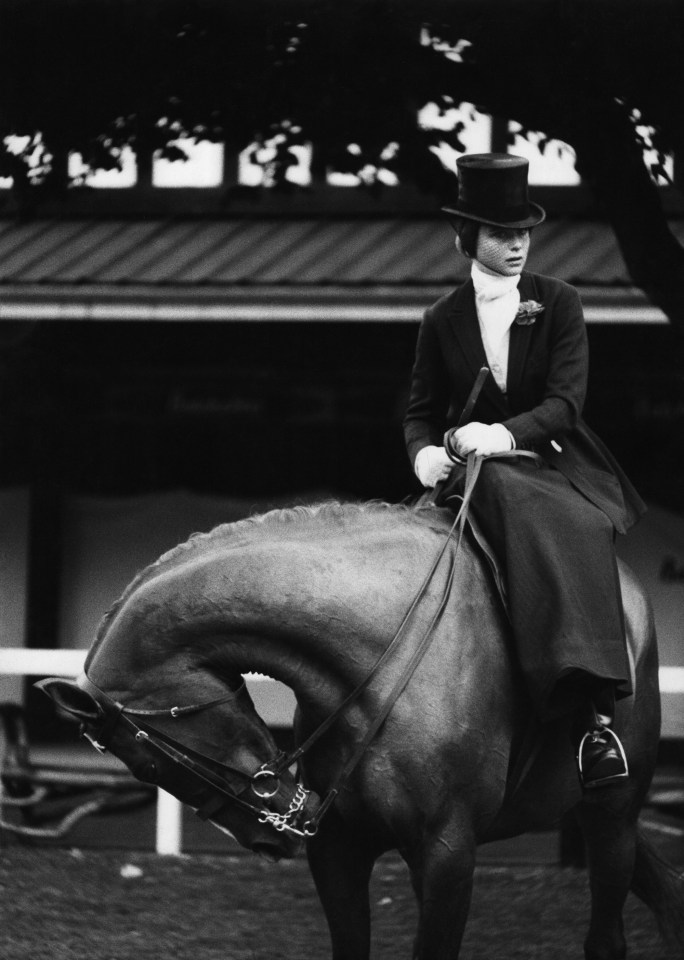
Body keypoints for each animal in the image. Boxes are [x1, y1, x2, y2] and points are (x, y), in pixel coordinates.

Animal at [41, 498, 684, 956]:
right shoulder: (341, 851)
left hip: (611, 813)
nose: (272, 840)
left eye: (149, 761)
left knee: (608, 934)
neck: (382, 662)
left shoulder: (448, 853)